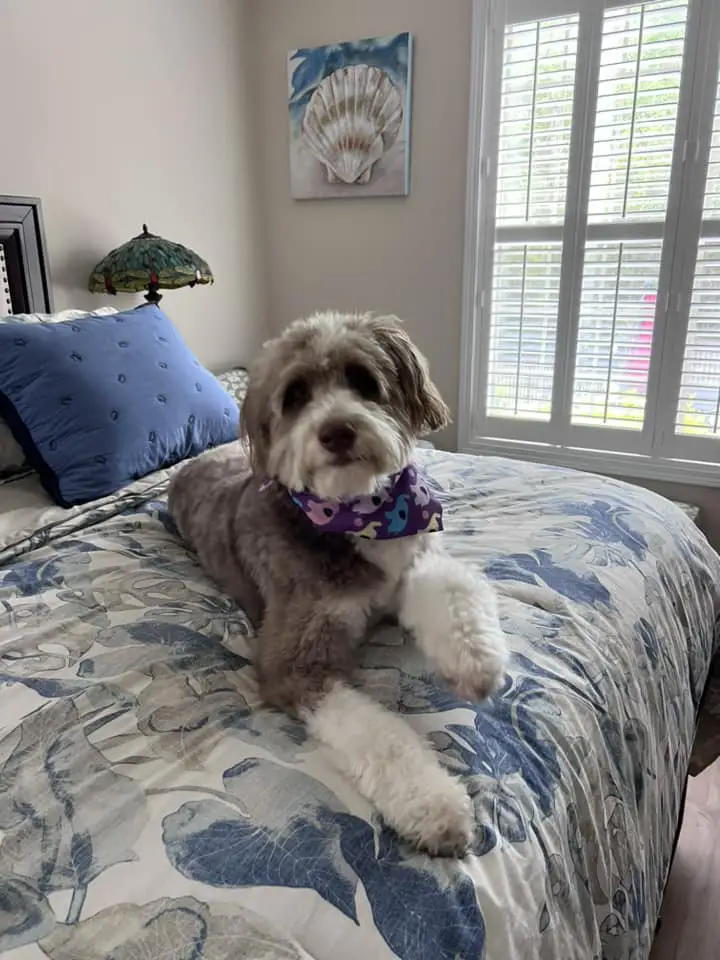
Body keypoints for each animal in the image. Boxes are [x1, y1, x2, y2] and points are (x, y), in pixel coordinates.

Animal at [167, 310, 506, 856]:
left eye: (363, 381)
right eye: (296, 395)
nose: (338, 431)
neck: (357, 515)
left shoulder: (412, 563)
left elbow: (452, 587)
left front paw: (474, 662)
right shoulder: (297, 660)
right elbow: (378, 734)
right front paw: (434, 806)